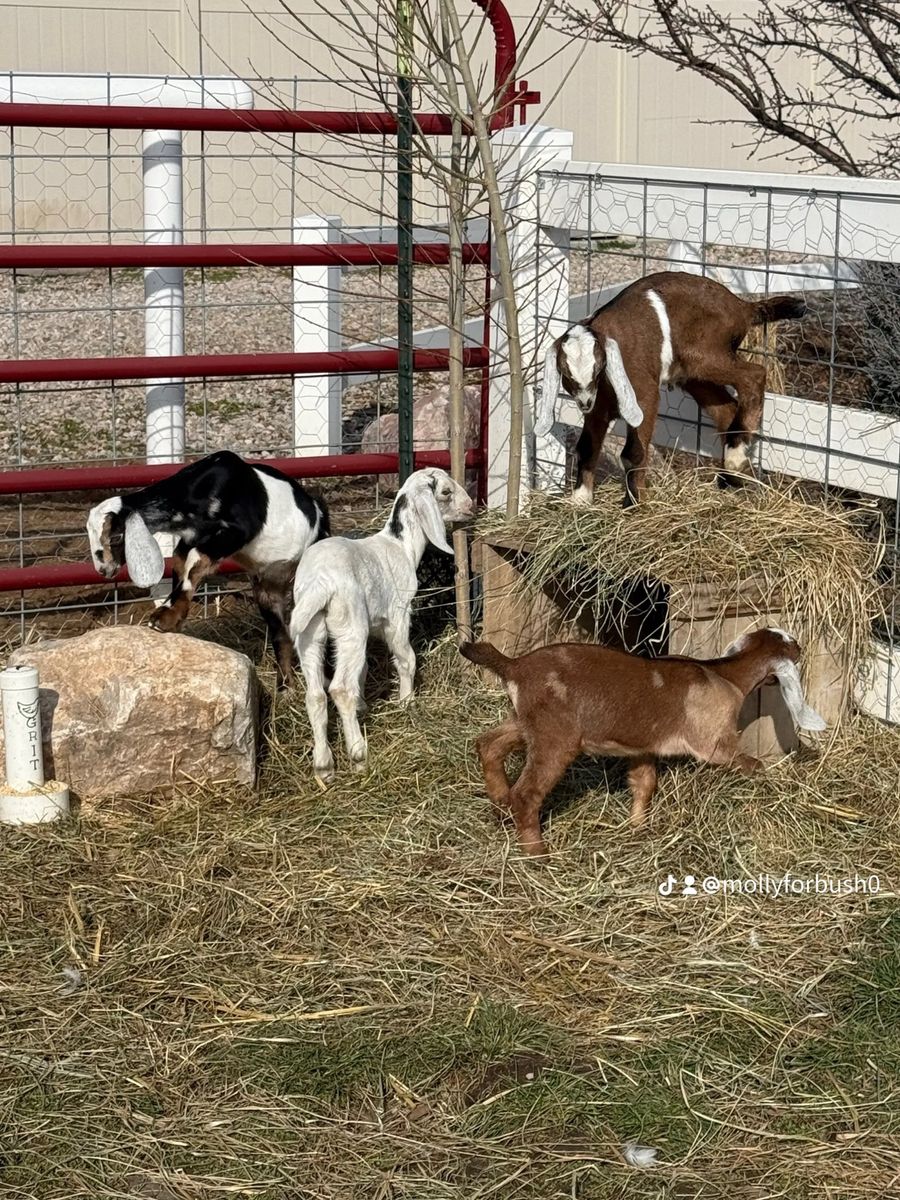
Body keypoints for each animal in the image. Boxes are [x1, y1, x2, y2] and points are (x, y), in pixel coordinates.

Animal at [86, 450, 330, 687]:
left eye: (116, 537)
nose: (103, 570)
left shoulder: (236, 531)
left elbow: (194, 561)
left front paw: (163, 618)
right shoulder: (190, 539)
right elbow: (181, 565)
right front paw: (172, 616)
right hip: (268, 589)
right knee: (282, 634)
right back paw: (284, 686)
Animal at [290, 467, 473, 782]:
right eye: (446, 492)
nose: (471, 506)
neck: (401, 545)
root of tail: (320, 582)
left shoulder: (373, 623)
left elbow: (364, 670)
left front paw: (365, 705)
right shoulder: (398, 615)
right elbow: (406, 658)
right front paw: (407, 702)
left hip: (309, 632)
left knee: (315, 695)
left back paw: (324, 766)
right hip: (350, 628)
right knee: (339, 689)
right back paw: (358, 755)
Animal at [462, 628, 825, 856]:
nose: (803, 648)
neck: (726, 675)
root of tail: (515, 667)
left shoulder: (643, 746)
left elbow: (644, 782)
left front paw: (637, 827)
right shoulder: (714, 743)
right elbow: (750, 763)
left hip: (525, 722)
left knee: (488, 744)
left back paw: (499, 804)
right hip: (555, 735)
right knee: (527, 793)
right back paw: (537, 853)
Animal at [535, 271, 807, 506]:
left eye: (600, 366)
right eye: (565, 373)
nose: (584, 402)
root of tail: (742, 307)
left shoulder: (643, 394)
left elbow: (633, 452)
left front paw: (634, 505)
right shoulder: (598, 409)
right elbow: (587, 447)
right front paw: (580, 500)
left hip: (707, 354)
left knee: (754, 375)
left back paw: (735, 460)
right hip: (694, 375)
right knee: (727, 408)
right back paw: (730, 477)